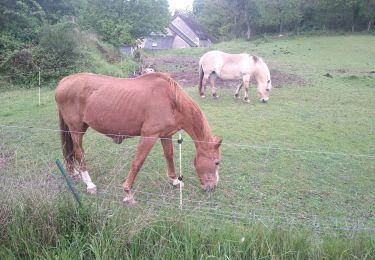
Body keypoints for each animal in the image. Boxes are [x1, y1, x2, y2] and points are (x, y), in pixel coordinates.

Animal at [55, 72, 223, 203]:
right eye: (216, 162)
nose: (212, 188)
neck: (171, 100)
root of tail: (64, 81)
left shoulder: (166, 135)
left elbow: (169, 156)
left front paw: (175, 181)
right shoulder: (149, 136)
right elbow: (138, 162)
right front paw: (127, 192)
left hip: (79, 128)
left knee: (70, 151)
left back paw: (73, 173)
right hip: (76, 129)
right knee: (79, 152)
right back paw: (89, 184)